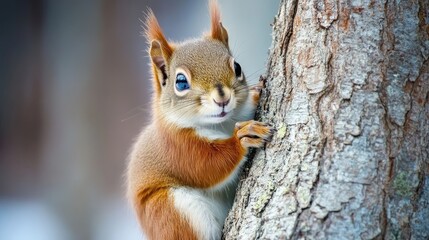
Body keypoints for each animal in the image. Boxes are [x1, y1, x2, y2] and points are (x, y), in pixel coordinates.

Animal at [127, 0, 272, 239]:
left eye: (237, 67)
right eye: (181, 82)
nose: (223, 98)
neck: (222, 123)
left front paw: (257, 91)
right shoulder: (179, 147)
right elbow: (207, 166)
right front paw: (242, 138)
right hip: (174, 212)